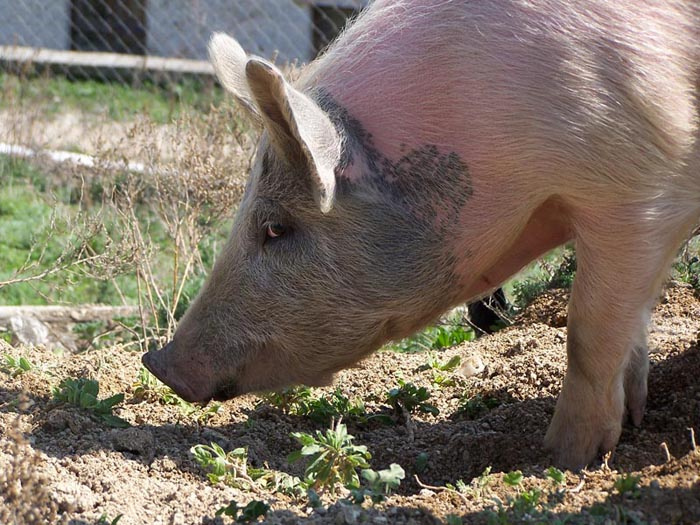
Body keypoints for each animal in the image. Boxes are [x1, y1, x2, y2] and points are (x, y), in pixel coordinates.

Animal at [142, 0, 700, 470]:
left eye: (276, 227)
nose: (159, 363)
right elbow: (633, 321)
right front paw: (633, 417)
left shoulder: (637, 189)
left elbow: (589, 326)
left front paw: (563, 459)